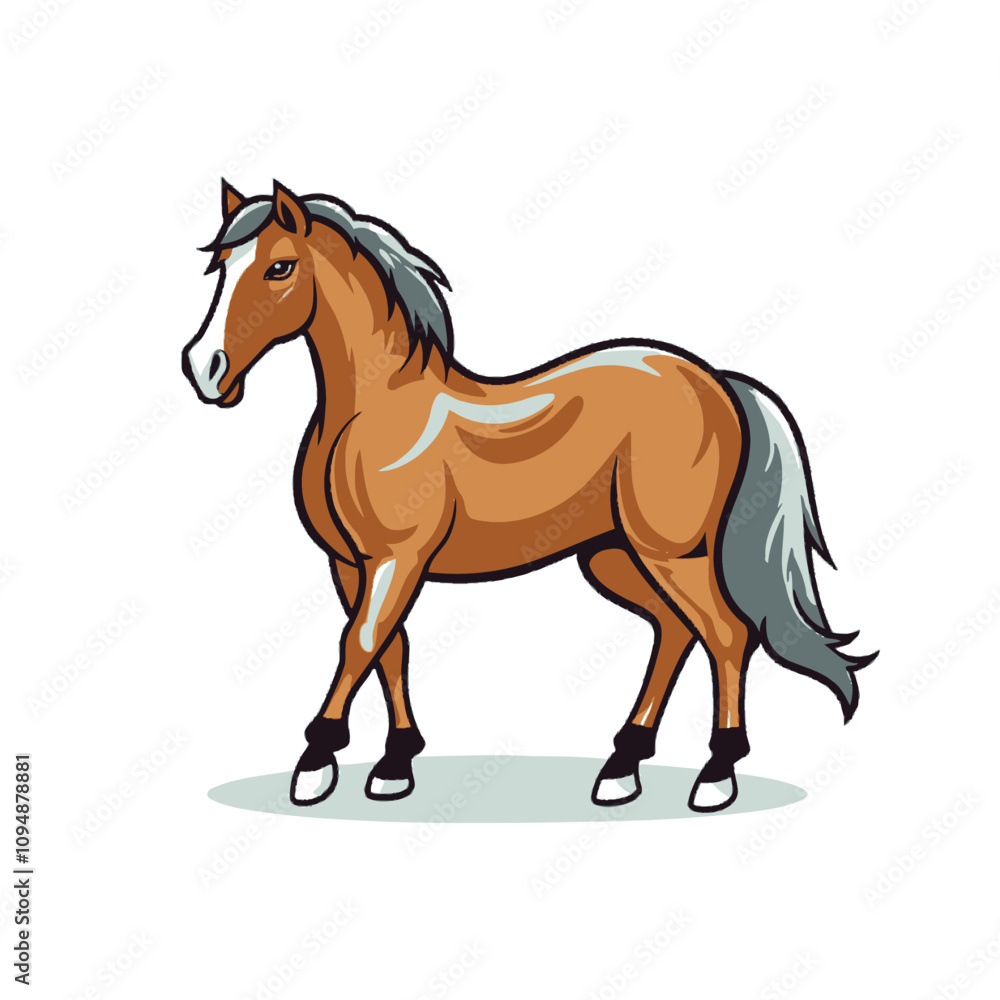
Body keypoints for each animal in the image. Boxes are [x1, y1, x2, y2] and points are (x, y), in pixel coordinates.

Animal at [182, 180, 876, 814]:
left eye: (279, 266)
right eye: (221, 267)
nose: (204, 369)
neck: (375, 412)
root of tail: (716, 380)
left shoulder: (396, 559)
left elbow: (360, 642)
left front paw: (315, 763)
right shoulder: (350, 563)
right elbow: (388, 646)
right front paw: (394, 765)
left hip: (672, 553)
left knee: (726, 635)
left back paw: (714, 777)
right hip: (614, 556)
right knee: (675, 631)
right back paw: (621, 767)